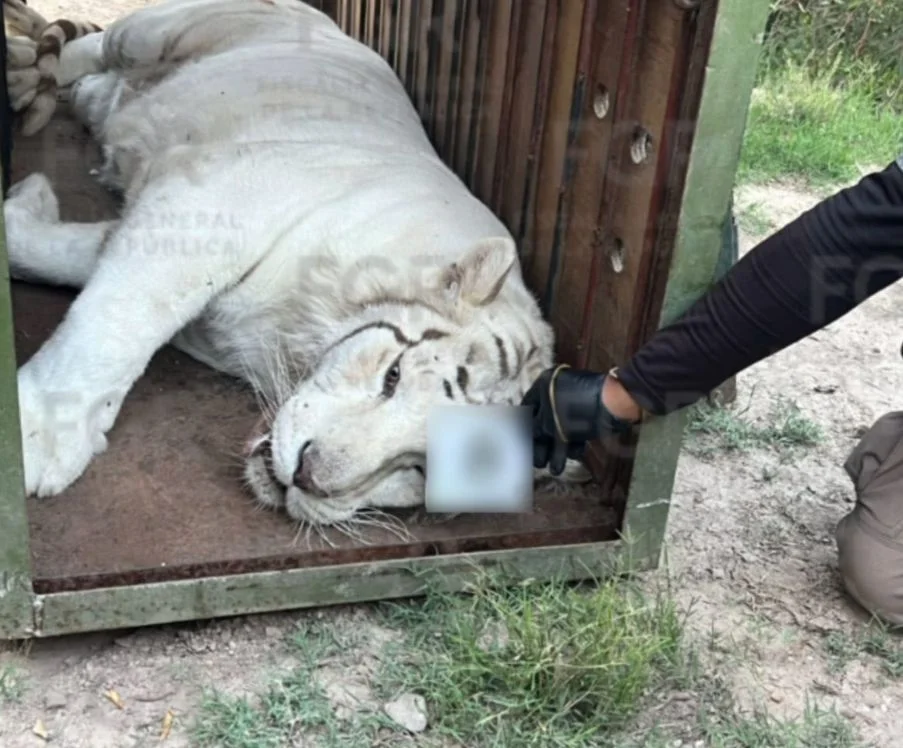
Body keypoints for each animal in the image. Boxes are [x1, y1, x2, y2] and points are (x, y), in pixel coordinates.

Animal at [2, 0, 589, 526]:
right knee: (89, 47)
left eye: (421, 469)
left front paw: (24, 206)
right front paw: (38, 438)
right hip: (154, 31)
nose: (307, 475)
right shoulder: (210, 204)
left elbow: (67, 260)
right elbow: (121, 318)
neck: (299, 333)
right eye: (393, 376)